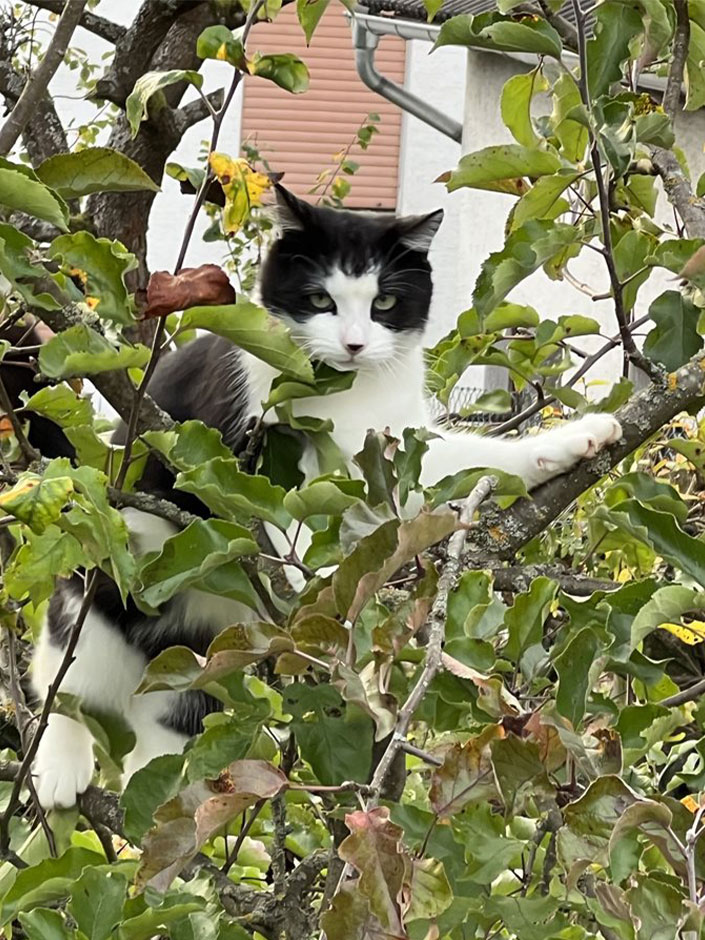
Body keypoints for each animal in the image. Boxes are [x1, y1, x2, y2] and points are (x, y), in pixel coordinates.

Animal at [30, 185, 620, 808]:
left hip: (200, 661)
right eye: (319, 299)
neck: (348, 394)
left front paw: (576, 438)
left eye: (385, 301)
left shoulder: (396, 450)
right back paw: (60, 765)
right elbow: (266, 512)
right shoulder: (235, 439)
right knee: (62, 683)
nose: (354, 344)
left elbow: (468, 462)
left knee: (168, 723)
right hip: (101, 591)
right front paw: (314, 584)